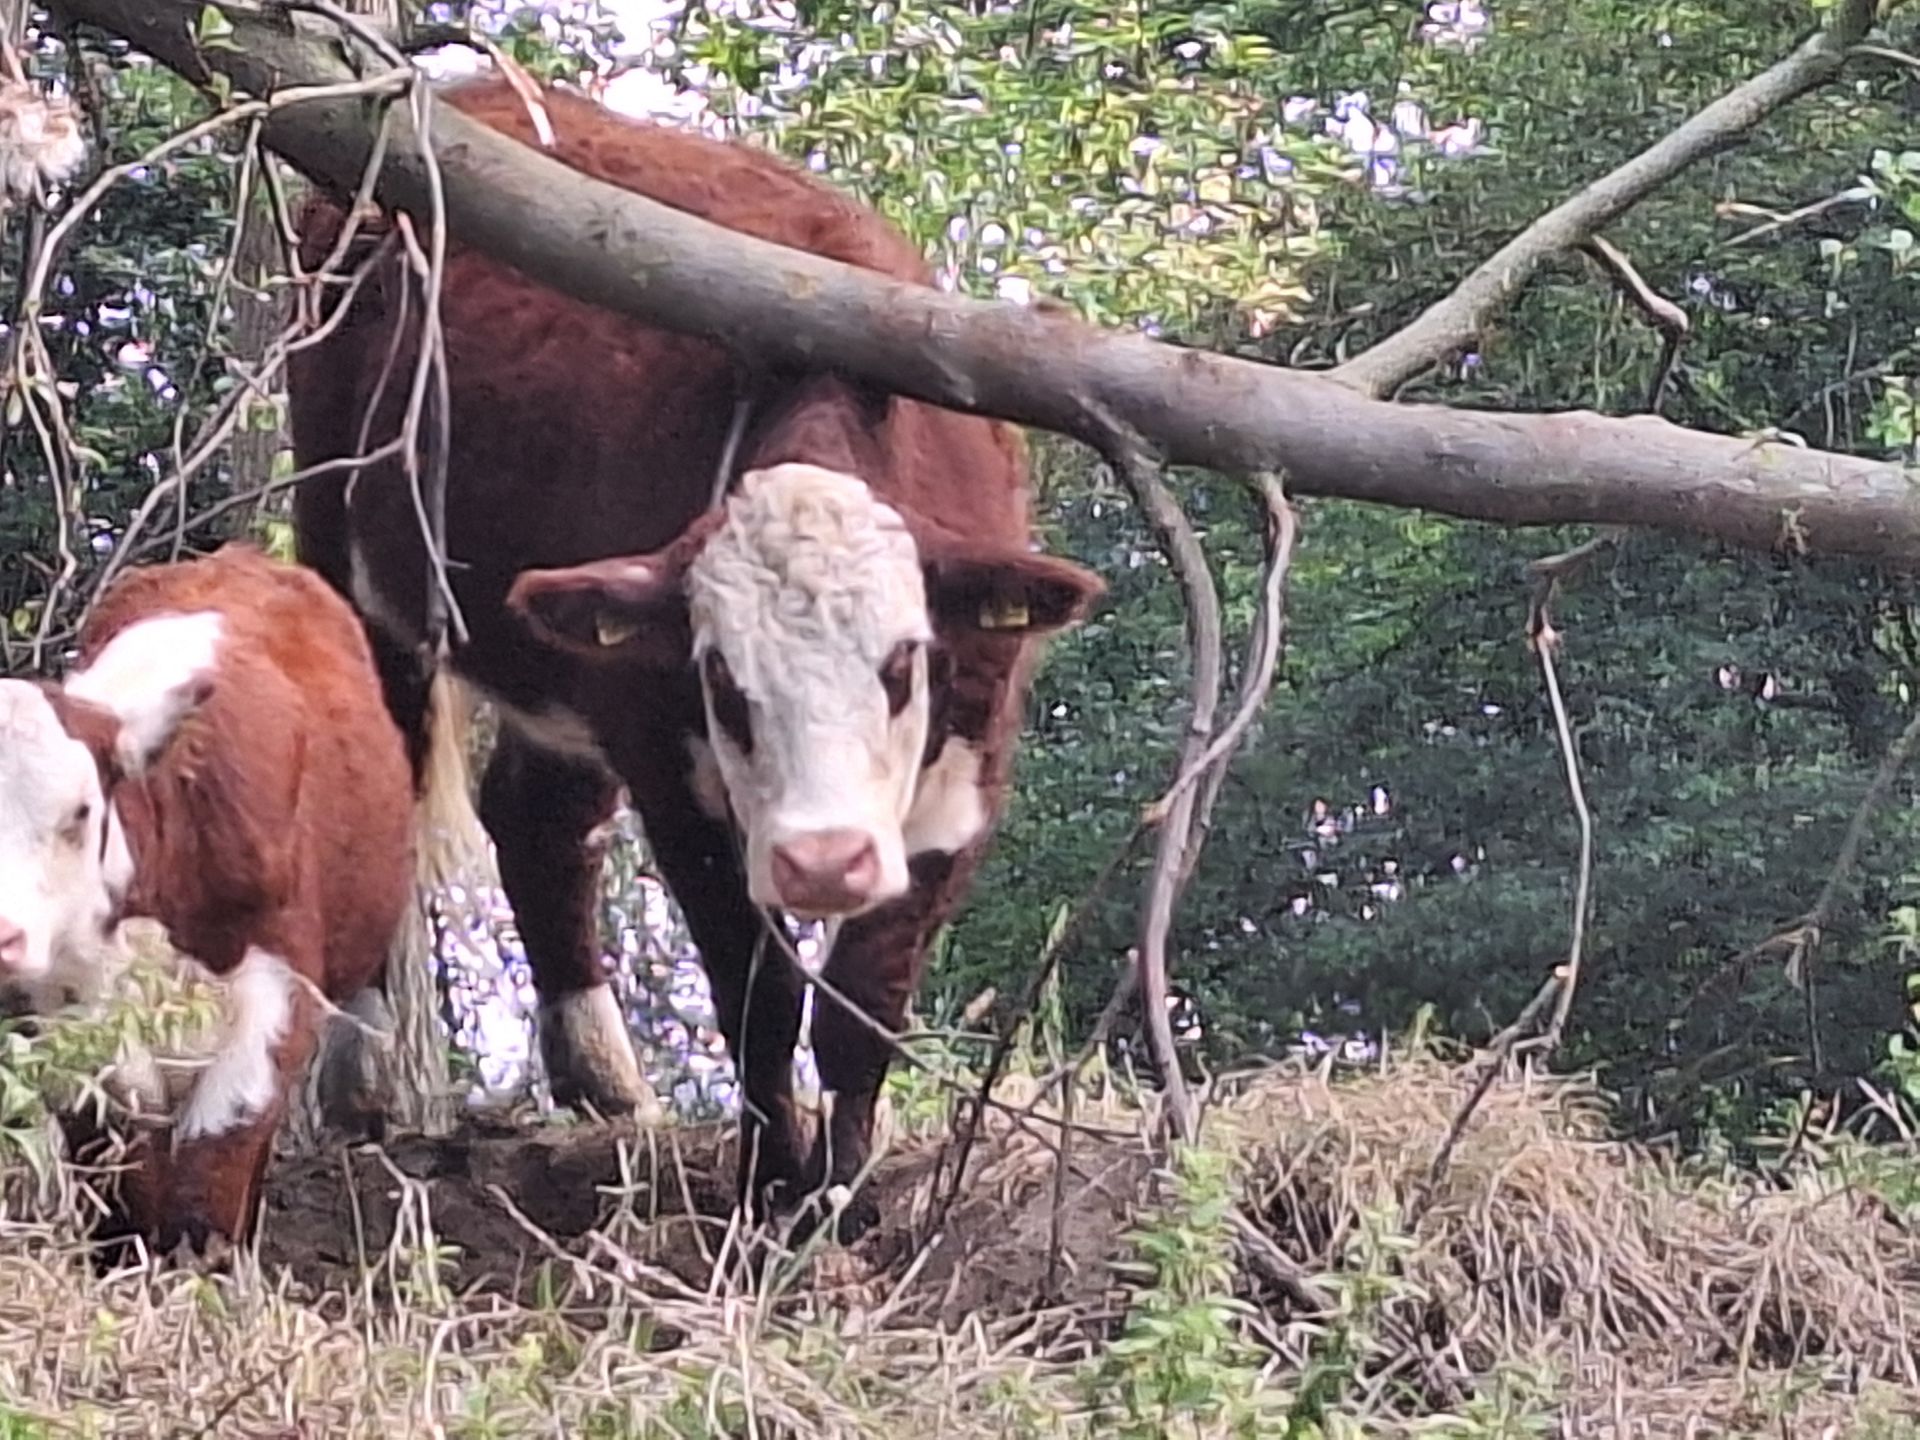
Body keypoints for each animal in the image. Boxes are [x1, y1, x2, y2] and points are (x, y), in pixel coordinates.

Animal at [0, 544, 416, 1253]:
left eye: (80, 811)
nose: (3, 936)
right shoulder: (71, 1002)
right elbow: (118, 1142)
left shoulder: (277, 992)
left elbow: (217, 1156)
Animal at [286, 74, 1105, 1237]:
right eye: (723, 678)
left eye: (903, 663)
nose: (823, 860)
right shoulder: (672, 769)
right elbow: (759, 994)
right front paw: (769, 1189)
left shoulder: (966, 776)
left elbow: (864, 1003)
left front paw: (842, 1195)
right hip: (351, 555)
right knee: (391, 783)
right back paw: (360, 1072)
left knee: (538, 823)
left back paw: (602, 1073)